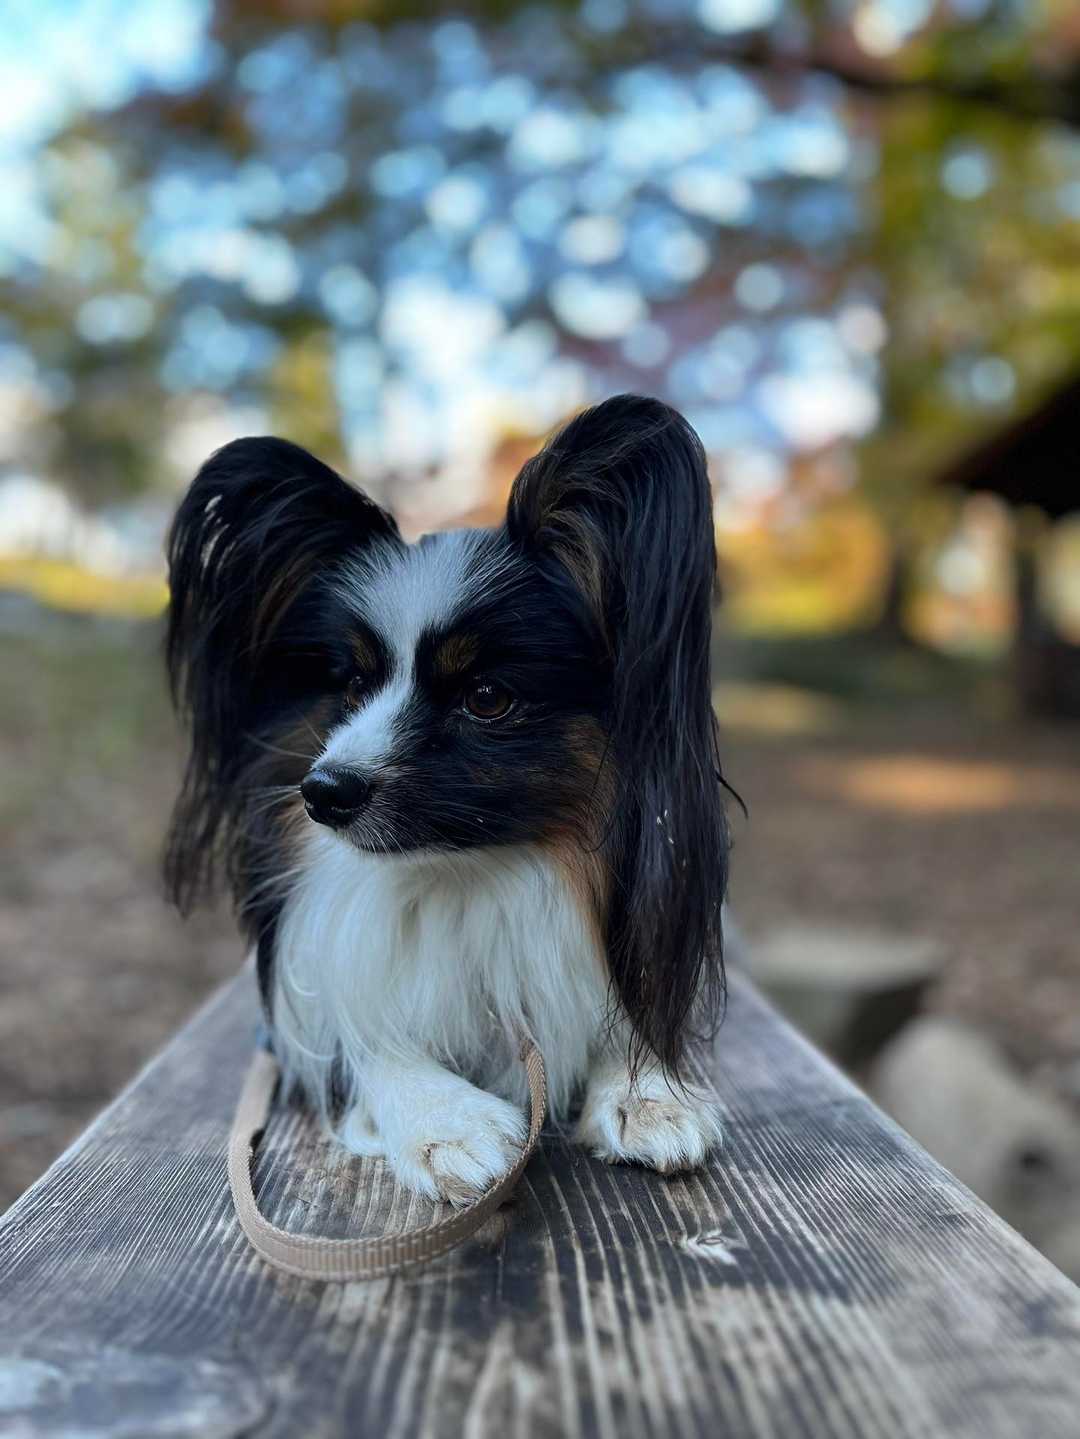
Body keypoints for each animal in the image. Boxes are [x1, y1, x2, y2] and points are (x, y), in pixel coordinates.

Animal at [165, 393, 729, 1205]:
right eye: (351, 684)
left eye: (487, 698)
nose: (322, 793)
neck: (464, 876)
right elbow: (365, 1039)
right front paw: (445, 1118)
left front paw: (644, 1091)